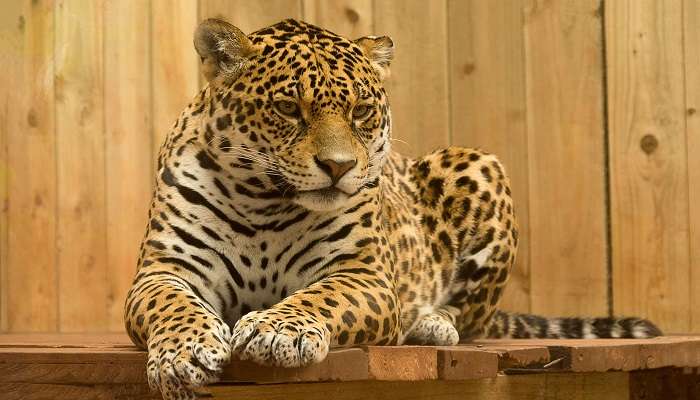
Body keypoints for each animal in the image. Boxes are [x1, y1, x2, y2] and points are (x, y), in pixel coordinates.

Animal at [124, 18, 661, 400]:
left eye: (361, 111)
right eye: (288, 109)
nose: (339, 167)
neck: (264, 202)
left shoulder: (363, 274)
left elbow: (320, 298)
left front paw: (277, 329)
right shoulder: (164, 270)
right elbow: (170, 305)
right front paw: (183, 354)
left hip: (479, 164)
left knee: (472, 316)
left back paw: (430, 323)